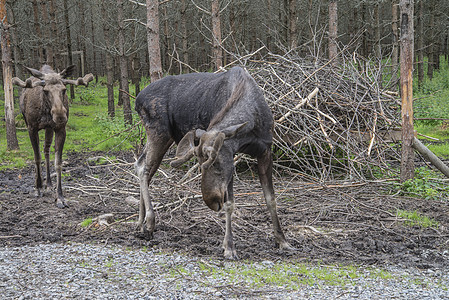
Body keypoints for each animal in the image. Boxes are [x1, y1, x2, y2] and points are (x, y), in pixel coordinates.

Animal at [12, 64, 93, 207]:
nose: (60, 115)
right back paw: (39, 183)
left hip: (49, 128)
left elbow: (58, 162)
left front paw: (59, 196)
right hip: (32, 124)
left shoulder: (60, 129)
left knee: (46, 149)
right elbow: (36, 157)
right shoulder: (31, 128)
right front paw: (38, 187)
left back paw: (49, 183)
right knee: (41, 152)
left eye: (64, 90)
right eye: (45, 90)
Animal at [135, 67, 292, 258]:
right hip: (158, 132)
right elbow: (230, 204)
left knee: (143, 166)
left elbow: (271, 199)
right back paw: (149, 222)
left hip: (165, 137)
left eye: (215, 163)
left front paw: (282, 241)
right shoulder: (233, 154)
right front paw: (229, 247)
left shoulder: (265, 150)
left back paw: (141, 224)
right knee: (144, 168)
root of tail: (137, 100)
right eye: (201, 165)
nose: (211, 201)